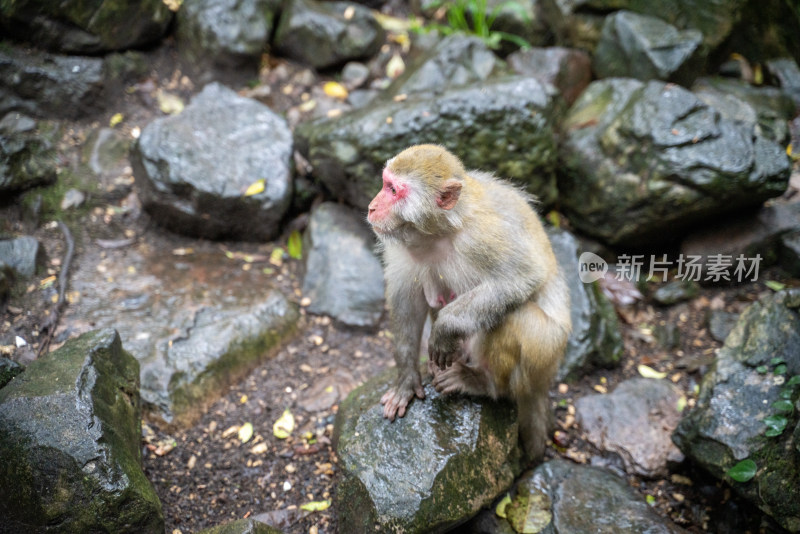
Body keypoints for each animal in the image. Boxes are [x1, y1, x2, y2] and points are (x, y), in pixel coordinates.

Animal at [366, 144, 572, 462]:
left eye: (393, 190)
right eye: (385, 183)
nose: (371, 208)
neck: (438, 232)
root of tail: (543, 382)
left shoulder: (482, 237)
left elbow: (522, 277)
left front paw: (445, 328)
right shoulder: (400, 244)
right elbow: (407, 303)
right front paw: (406, 378)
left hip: (544, 354)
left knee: (513, 315)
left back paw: (482, 383)